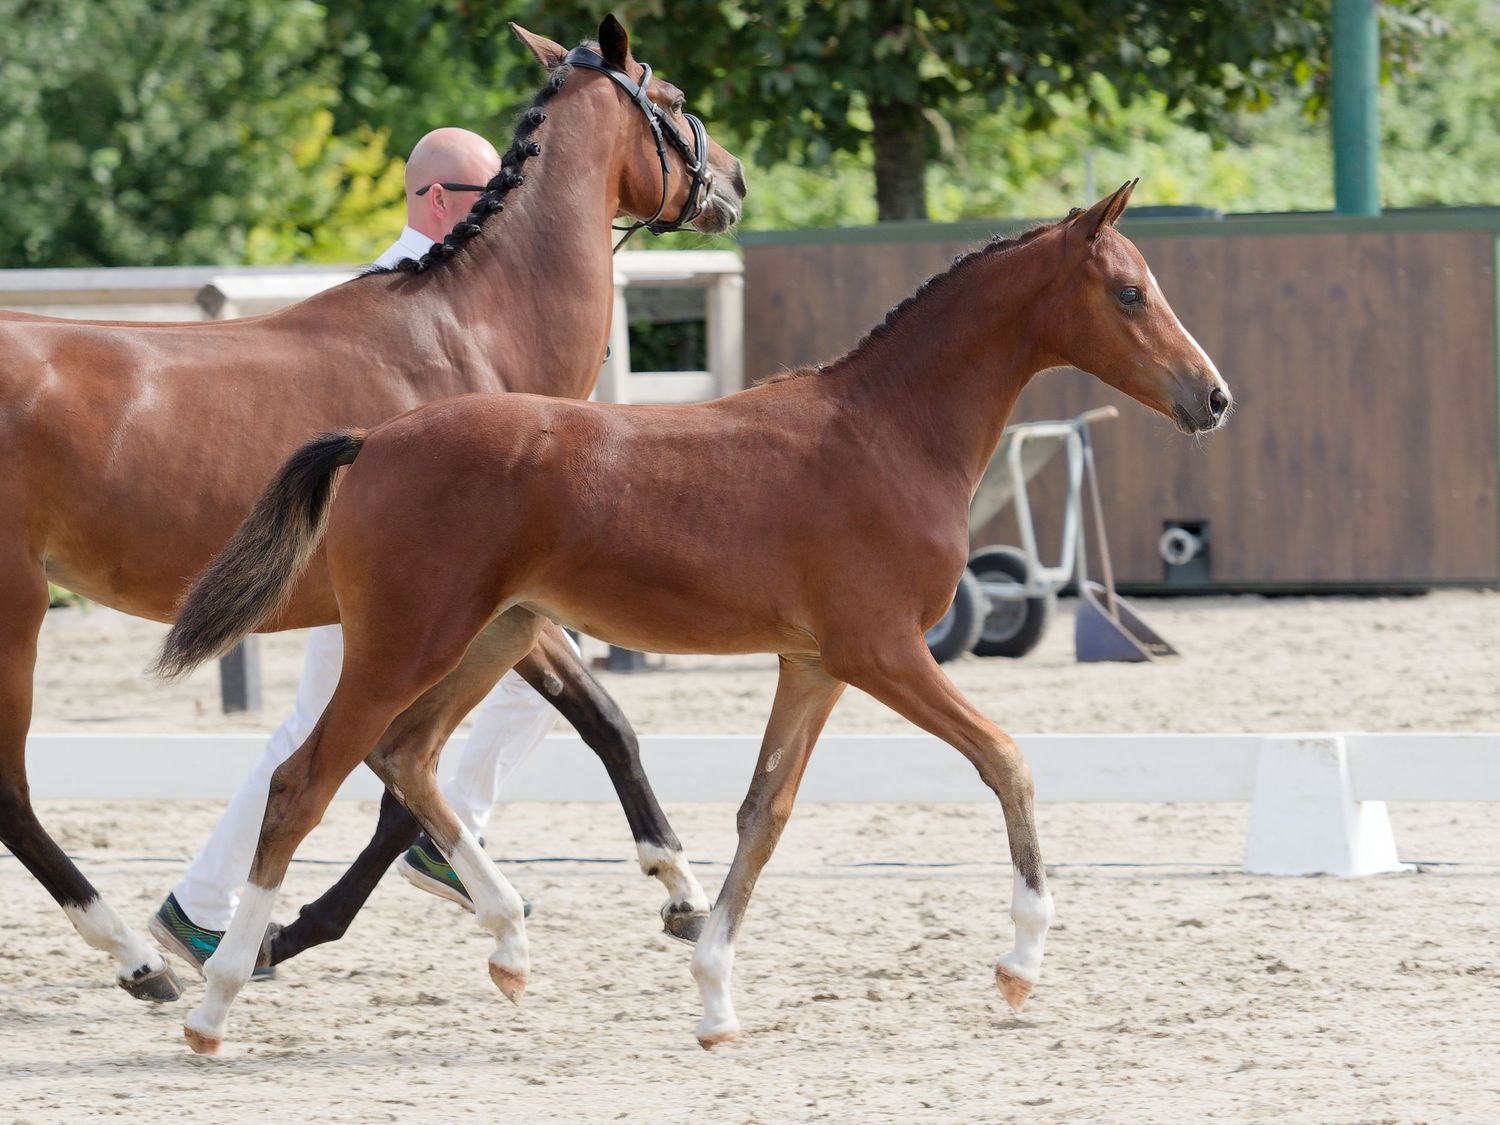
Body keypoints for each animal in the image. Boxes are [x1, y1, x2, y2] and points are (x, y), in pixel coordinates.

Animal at [0, 15, 745, 1003]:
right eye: (673, 101)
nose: (734, 179)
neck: (474, 333)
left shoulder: (494, 609)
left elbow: (560, 733)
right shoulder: (478, 606)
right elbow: (551, 736)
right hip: (18, 608)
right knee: (11, 791)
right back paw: (137, 956)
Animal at [157, 180, 1232, 1054]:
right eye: (1129, 292)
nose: (1213, 397)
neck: (888, 433)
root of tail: (374, 439)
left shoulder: (816, 664)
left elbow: (765, 812)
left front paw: (714, 996)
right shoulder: (883, 650)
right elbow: (1006, 759)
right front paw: (1019, 965)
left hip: (492, 636)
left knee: (406, 758)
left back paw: (508, 944)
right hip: (406, 642)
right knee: (304, 782)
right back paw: (215, 1000)